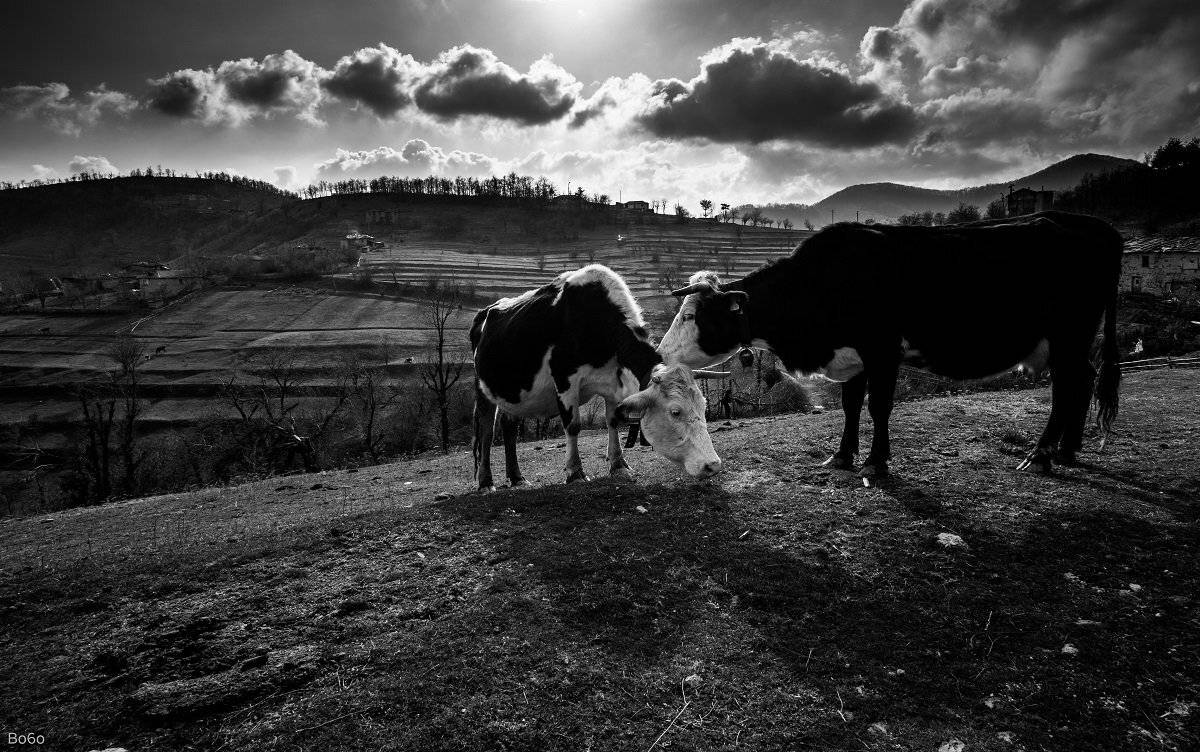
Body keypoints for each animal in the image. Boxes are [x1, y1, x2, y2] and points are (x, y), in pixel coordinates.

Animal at [470, 264, 723, 491]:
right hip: (482, 390)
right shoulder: (565, 379)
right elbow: (573, 425)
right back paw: (485, 482)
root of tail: (486, 311)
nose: (712, 465)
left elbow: (613, 421)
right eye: (675, 412)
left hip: (513, 394)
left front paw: (619, 466)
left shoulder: (613, 382)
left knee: (509, 427)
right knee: (486, 431)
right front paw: (575, 473)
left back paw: (517, 478)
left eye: (703, 407)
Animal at [657, 211, 1123, 481]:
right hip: (1073, 342)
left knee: (1067, 388)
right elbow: (850, 405)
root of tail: (1096, 226)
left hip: (1069, 335)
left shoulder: (882, 350)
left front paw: (876, 461)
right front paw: (842, 455)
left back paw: (1041, 455)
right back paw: (1067, 450)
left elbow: (878, 406)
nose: (661, 353)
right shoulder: (852, 357)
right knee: (1083, 381)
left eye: (691, 316)